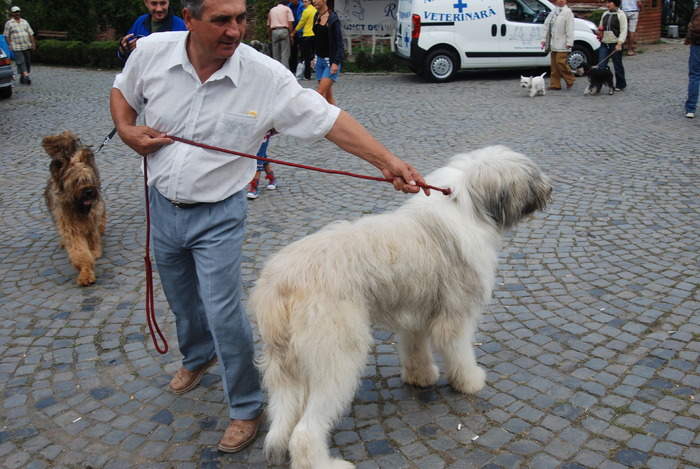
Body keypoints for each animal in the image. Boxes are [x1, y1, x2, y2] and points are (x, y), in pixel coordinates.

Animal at [43, 132, 106, 286]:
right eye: (76, 181)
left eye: (89, 178)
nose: (89, 191)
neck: (78, 208)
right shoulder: (70, 228)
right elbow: (80, 252)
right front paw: (85, 274)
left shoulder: (92, 217)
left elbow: (92, 236)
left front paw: (94, 252)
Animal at [252, 146, 552, 468]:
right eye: (532, 176)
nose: (550, 188)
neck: (470, 207)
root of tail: (279, 283)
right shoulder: (456, 314)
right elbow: (459, 352)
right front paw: (470, 381)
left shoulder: (416, 310)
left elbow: (415, 348)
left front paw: (420, 377)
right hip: (336, 356)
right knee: (305, 431)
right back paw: (326, 463)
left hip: (284, 362)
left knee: (286, 416)